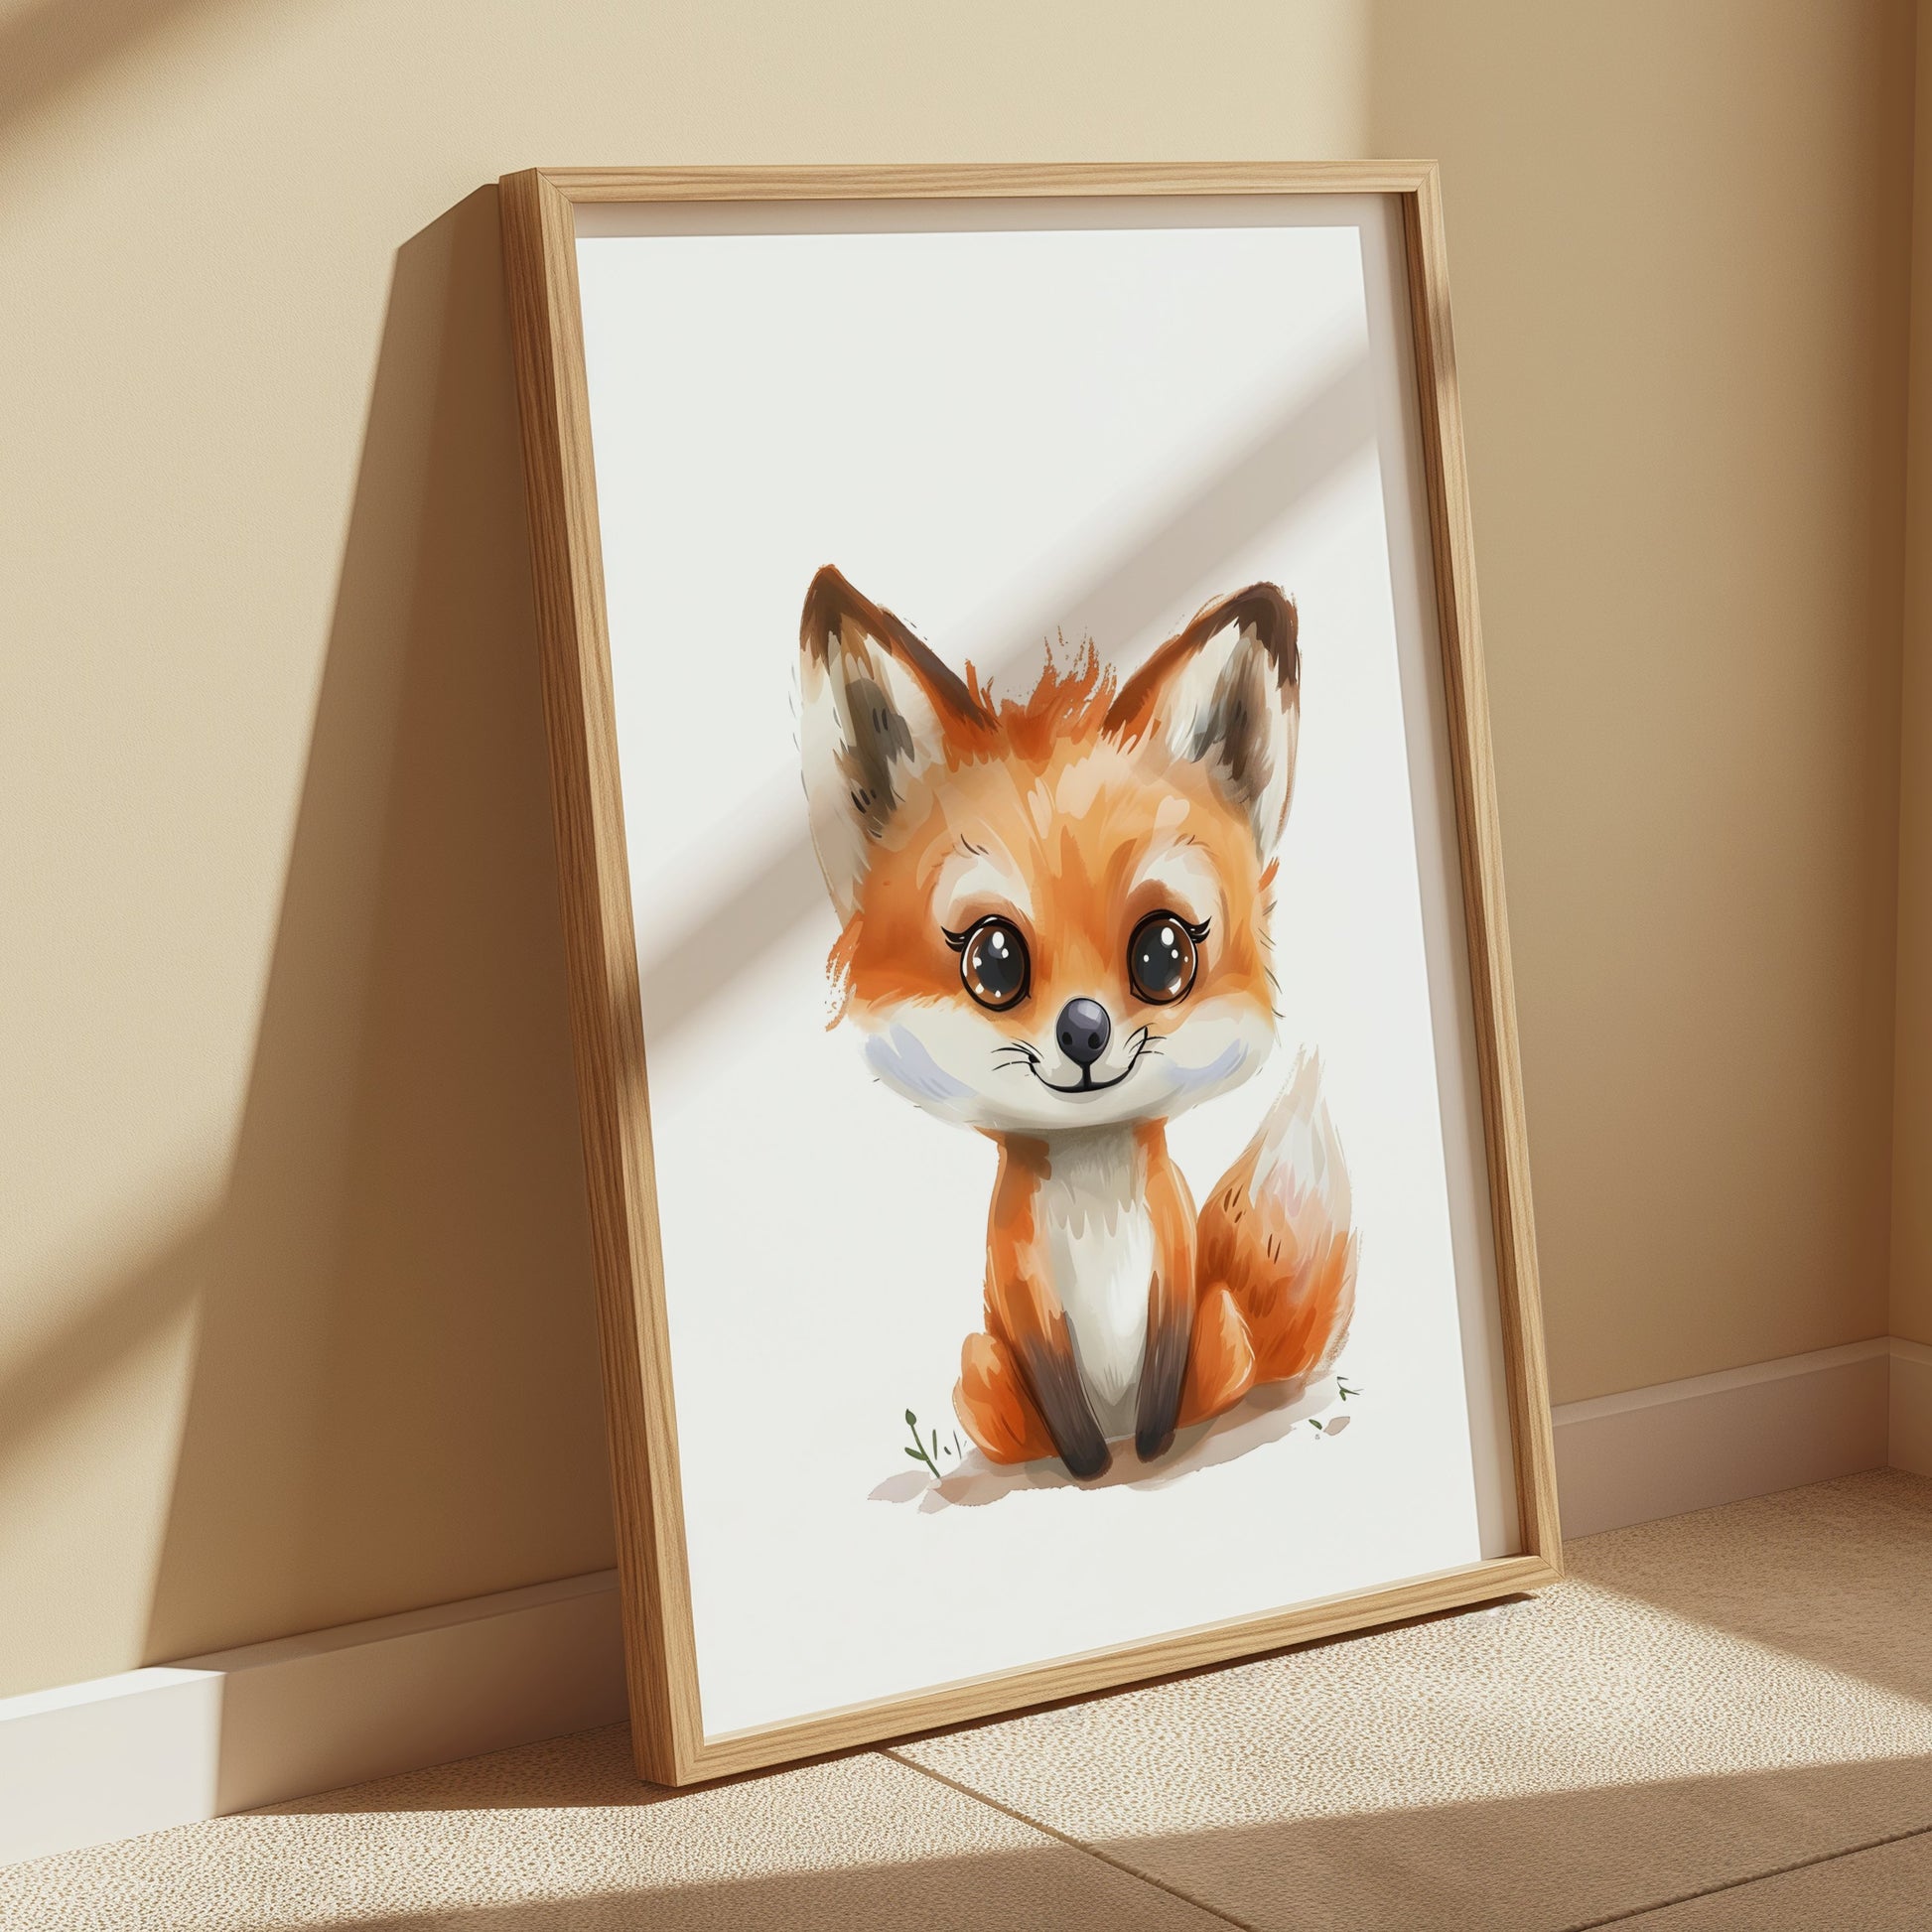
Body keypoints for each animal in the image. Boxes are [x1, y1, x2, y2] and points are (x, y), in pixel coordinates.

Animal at [799, 566, 1358, 1482]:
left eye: (1163, 954)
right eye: (993, 962)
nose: (1086, 1031)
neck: (1093, 1196)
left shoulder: (1175, 1267)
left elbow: (1163, 1374)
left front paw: (1155, 1451)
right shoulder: (1022, 1294)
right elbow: (1064, 1399)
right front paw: (1090, 1468)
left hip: (1223, 1332)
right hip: (981, 1374)